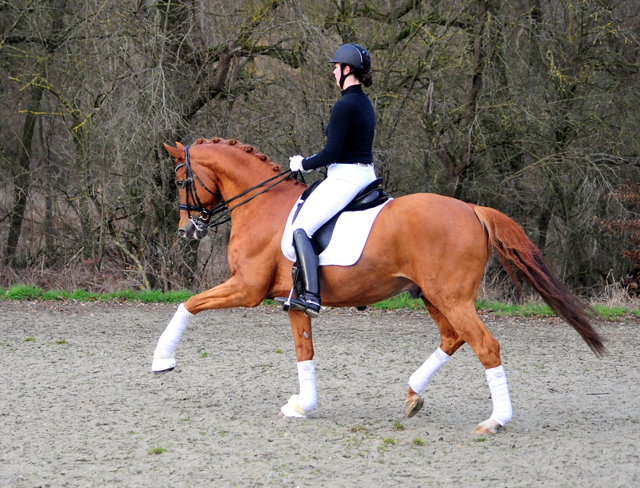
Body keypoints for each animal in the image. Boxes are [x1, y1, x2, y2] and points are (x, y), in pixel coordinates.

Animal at [151, 136, 604, 434]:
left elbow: (189, 304)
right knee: (453, 338)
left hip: (451, 297)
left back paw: (495, 420)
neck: (262, 206)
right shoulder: (294, 301)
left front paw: (162, 360)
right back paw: (413, 394)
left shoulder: (247, 289)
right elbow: (304, 352)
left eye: (180, 180)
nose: (186, 230)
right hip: (434, 296)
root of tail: (473, 210)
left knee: (485, 346)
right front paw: (302, 405)